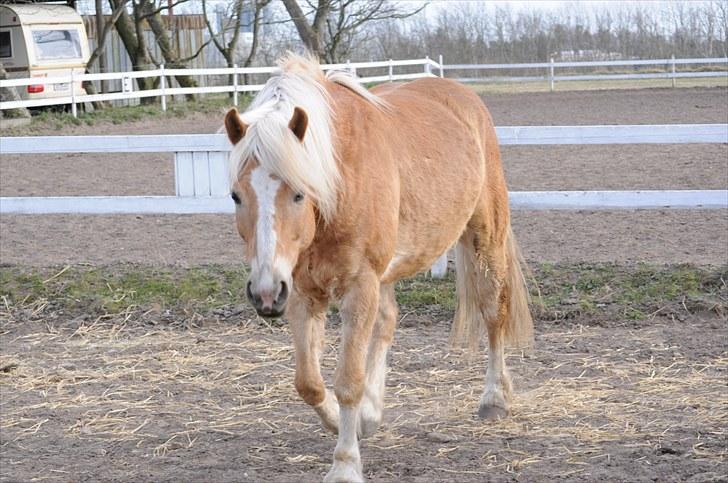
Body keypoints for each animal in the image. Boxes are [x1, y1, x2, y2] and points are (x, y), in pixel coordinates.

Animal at [225, 54, 532, 482]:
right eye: (236, 195)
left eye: (299, 193)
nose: (265, 293)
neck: (339, 179)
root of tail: (461, 95)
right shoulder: (301, 291)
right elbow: (309, 383)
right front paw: (346, 423)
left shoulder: (358, 286)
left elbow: (347, 381)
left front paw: (345, 464)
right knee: (387, 321)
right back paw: (371, 412)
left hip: (484, 239)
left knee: (493, 311)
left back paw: (495, 398)